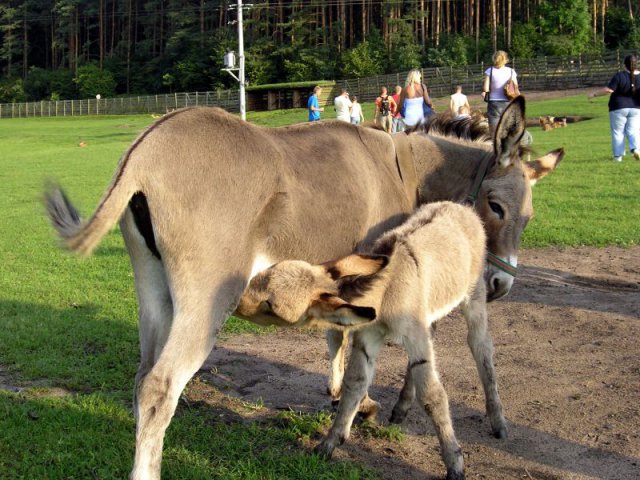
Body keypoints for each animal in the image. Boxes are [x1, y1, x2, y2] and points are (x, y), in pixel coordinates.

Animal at [238, 201, 488, 478]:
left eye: (271, 307)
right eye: (268, 271)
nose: (237, 300)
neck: (387, 290)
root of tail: (460, 206)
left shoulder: (414, 336)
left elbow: (432, 396)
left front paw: (454, 462)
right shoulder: (369, 336)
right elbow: (354, 383)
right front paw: (330, 443)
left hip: (474, 297)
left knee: (481, 346)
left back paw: (497, 421)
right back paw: (401, 407)